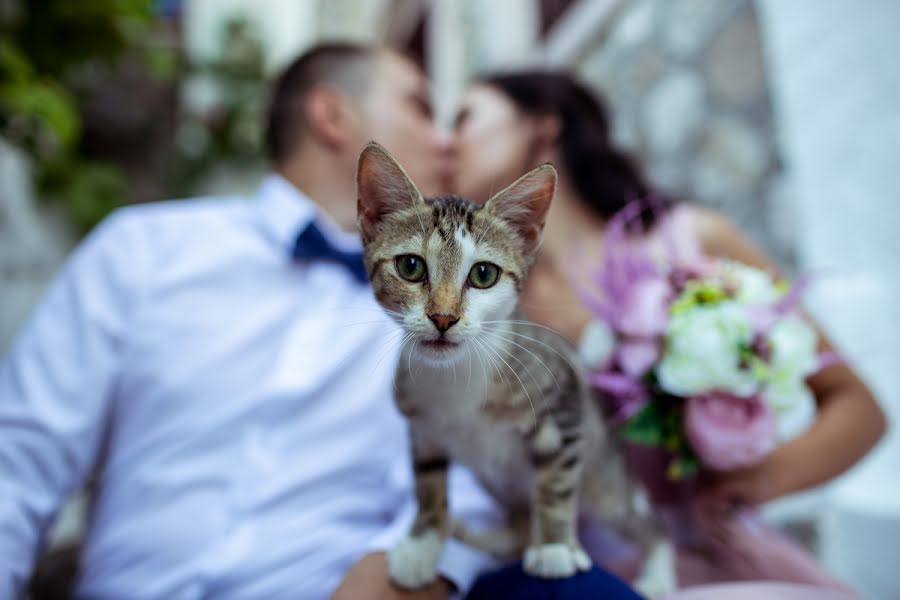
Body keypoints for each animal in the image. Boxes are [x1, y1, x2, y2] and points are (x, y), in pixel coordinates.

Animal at [356, 143, 648, 588]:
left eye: (483, 274)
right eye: (410, 266)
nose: (443, 318)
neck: (456, 376)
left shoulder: (563, 404)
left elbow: (555, 484)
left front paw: (554, 547)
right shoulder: (422, 426)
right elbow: (428, 484)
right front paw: (423, 544)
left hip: (603, 481)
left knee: (647, 519)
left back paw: (656, 574)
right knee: (517, 527)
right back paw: (484, 538)